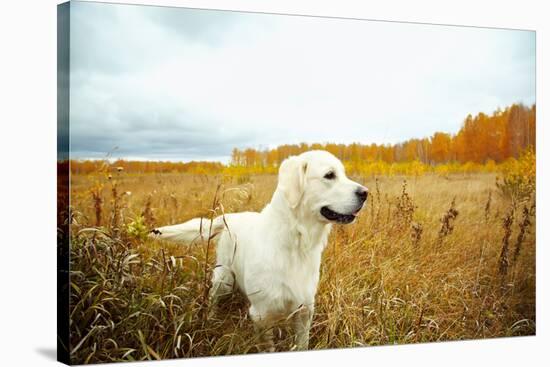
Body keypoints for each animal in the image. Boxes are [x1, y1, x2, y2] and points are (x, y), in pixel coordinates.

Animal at [151, 151, 368, 352]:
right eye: (329, 175)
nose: (365, 192)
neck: (295, 243)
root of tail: (229, 217)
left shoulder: (305, 310)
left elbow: (302, 344)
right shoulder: (261, 315)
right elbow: (268, 346)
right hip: (224, 278)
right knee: (213, 297)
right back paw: (210, 318)